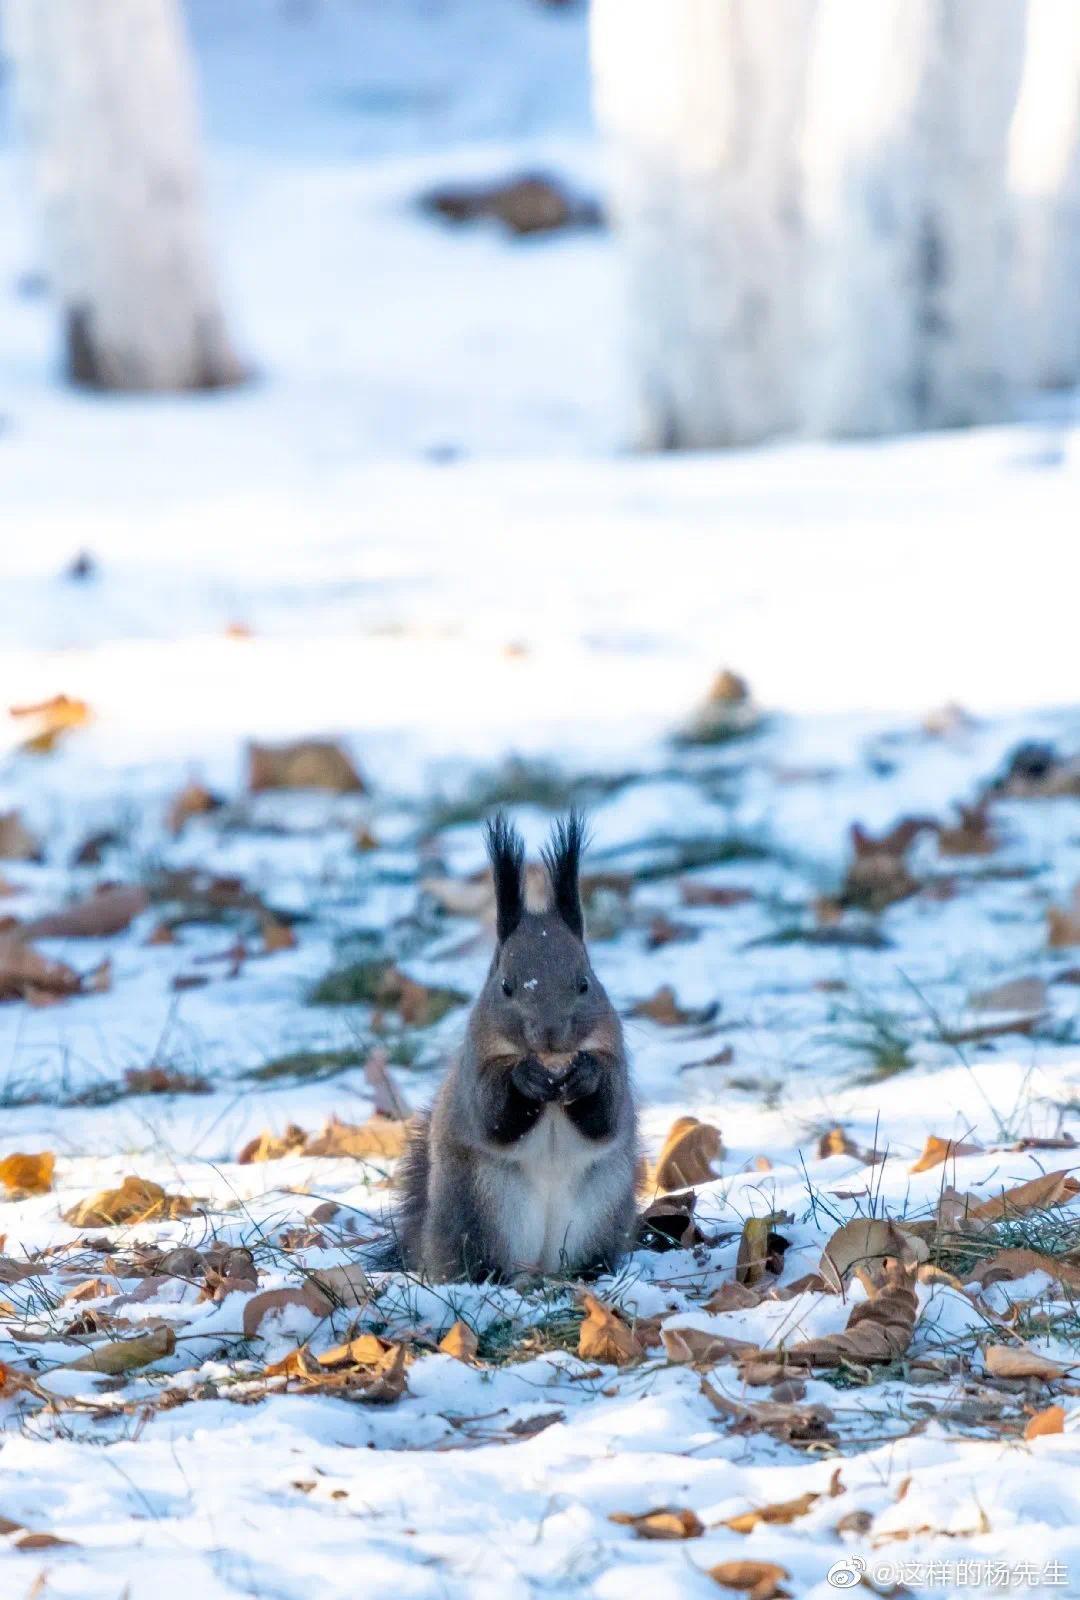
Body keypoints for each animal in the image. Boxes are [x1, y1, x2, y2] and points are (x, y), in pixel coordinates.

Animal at [388, 819, 636, 1280]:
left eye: (585, 982)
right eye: (505, 986)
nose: (551, 1033)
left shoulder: (616, 1061)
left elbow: (607, 1115)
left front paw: (586, 1075)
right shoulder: (474, 1070)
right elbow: (492, 1115)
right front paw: (525, 1079)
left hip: (600, 1212)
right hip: (481, 1209)